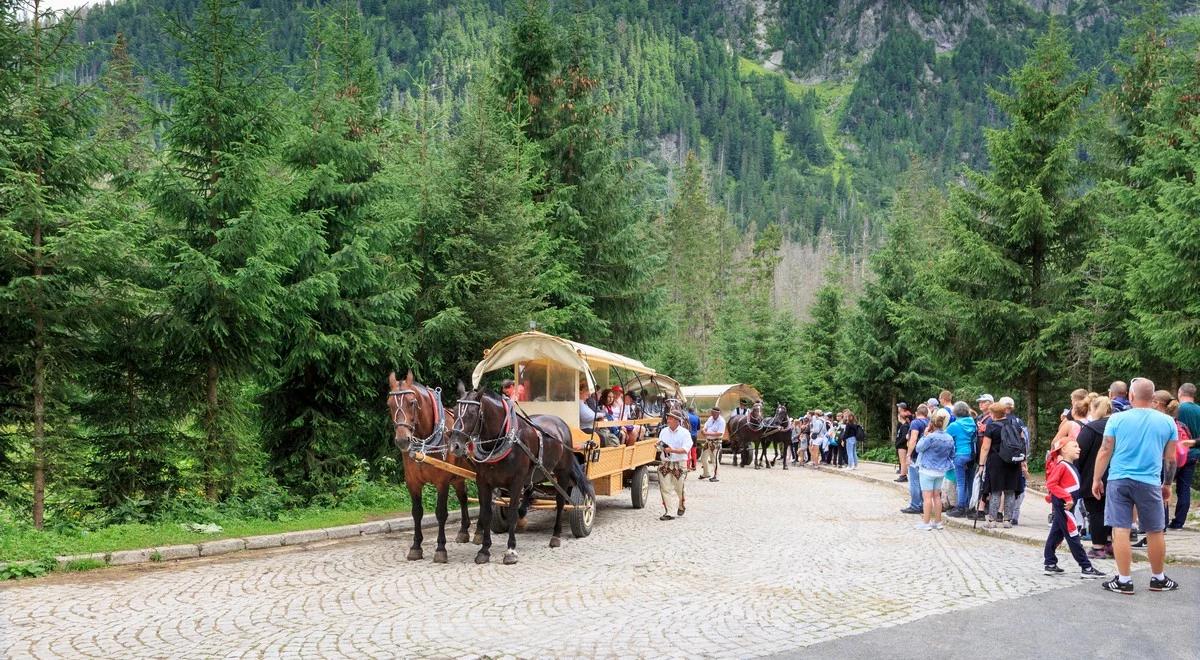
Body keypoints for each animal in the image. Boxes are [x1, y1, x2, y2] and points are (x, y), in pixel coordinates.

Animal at [388, 372, 472, 564]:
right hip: (458, 476)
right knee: (463, 498)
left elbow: (441, 513)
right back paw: (464, 531)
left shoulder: (442, 482)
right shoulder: (412, 482)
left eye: (412, 402)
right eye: (389, 404)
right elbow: (416, 512)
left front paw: (441, 549)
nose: (402, 440)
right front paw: (415, 547)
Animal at [446, 388, 595, 568]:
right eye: (454, 411)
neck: (503, 439)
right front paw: (484, 550)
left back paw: (556, 535)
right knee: (531, 488)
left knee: (560, 502)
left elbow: (511, 513)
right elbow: (487, 512)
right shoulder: (483, 482)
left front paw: (510, 551)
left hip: (562, 472)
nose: (454, 446)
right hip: (537, 472)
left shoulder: (516, 481)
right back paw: (525, 511)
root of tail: (561, 423)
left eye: (472, 413)